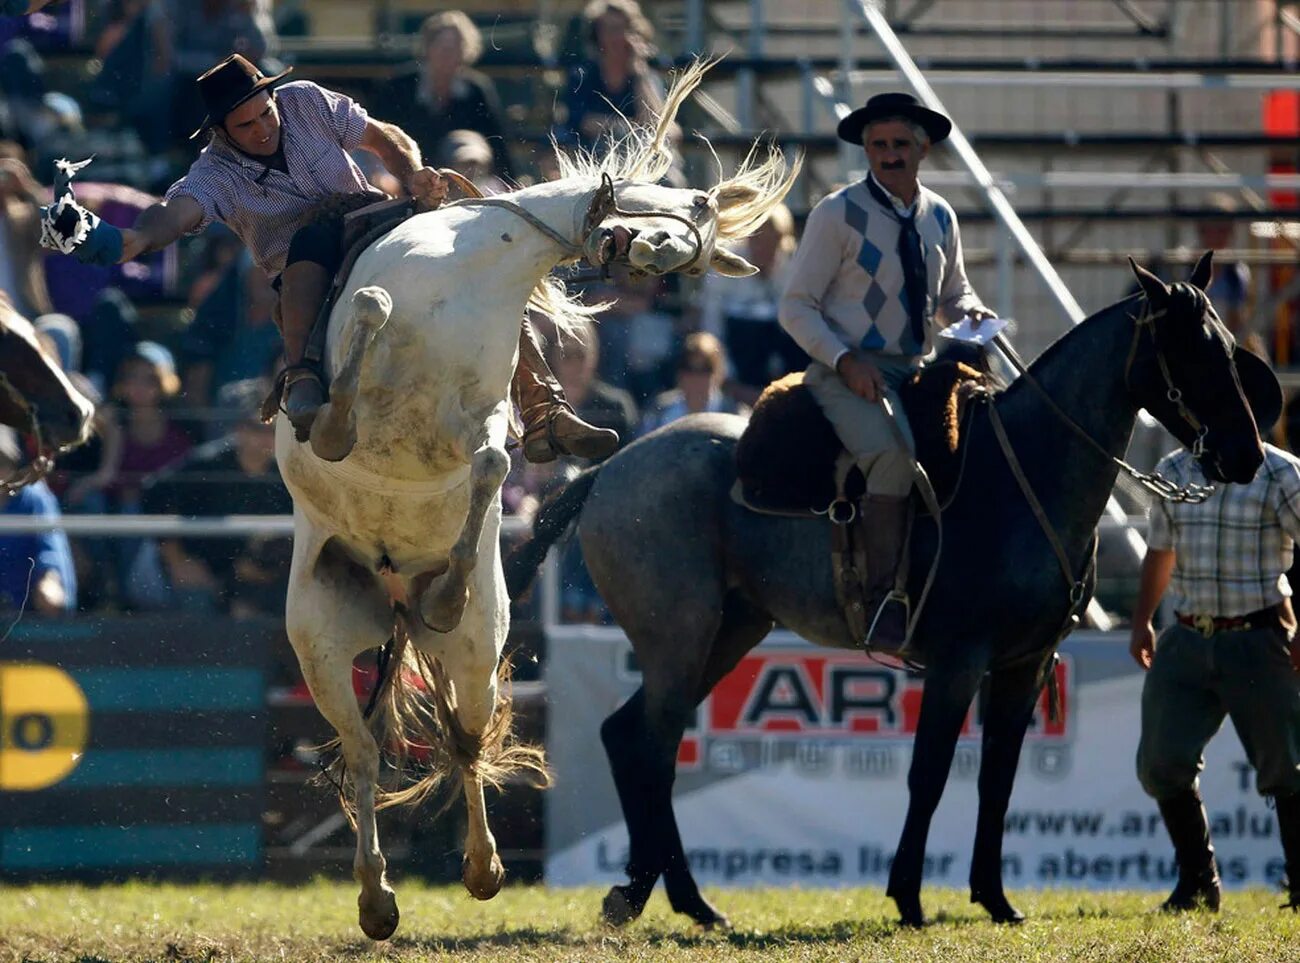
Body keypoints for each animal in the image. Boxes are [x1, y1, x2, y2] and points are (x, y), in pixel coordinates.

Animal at [276, 62, 790, 940]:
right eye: (690, 208)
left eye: (691, 257)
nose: (639, 252)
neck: (468, 270)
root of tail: (393, 599)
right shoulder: (371, 333)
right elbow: (370, 316)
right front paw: (334, 421)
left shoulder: (476, 421)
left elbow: (488, 462)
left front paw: (452, 581)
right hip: (317, 643)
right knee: (368, 754)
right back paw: (377, 896)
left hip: (477, 650)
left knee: (462, 737)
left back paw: (478, 866)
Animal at [506, 256, 1268, 925]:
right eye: (1192, 352)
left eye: (1232, 349)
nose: (1247, 453)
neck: (1022, 474)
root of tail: (609, 472)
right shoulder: (959, 662)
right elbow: (928, 775)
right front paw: (908, 897)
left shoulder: (1024, 666)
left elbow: (997, 780)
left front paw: (995, 899)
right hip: (678, 639)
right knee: (653, 747)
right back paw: (661, 895)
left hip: (728, 633)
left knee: (629, 735)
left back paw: (671, 898)